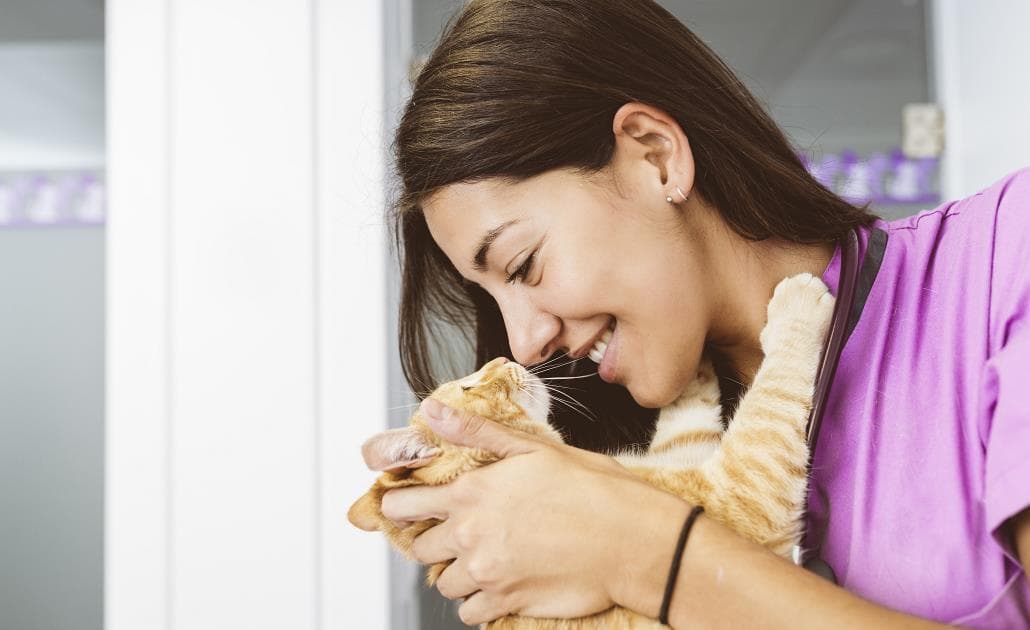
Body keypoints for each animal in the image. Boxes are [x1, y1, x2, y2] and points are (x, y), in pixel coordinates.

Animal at [350, 273, 832, 625]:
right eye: (468, 385)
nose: (503, 358)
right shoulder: (741, 484)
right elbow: (772, 395)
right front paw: (798, 306)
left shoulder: (687, 448)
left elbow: (688, 403)